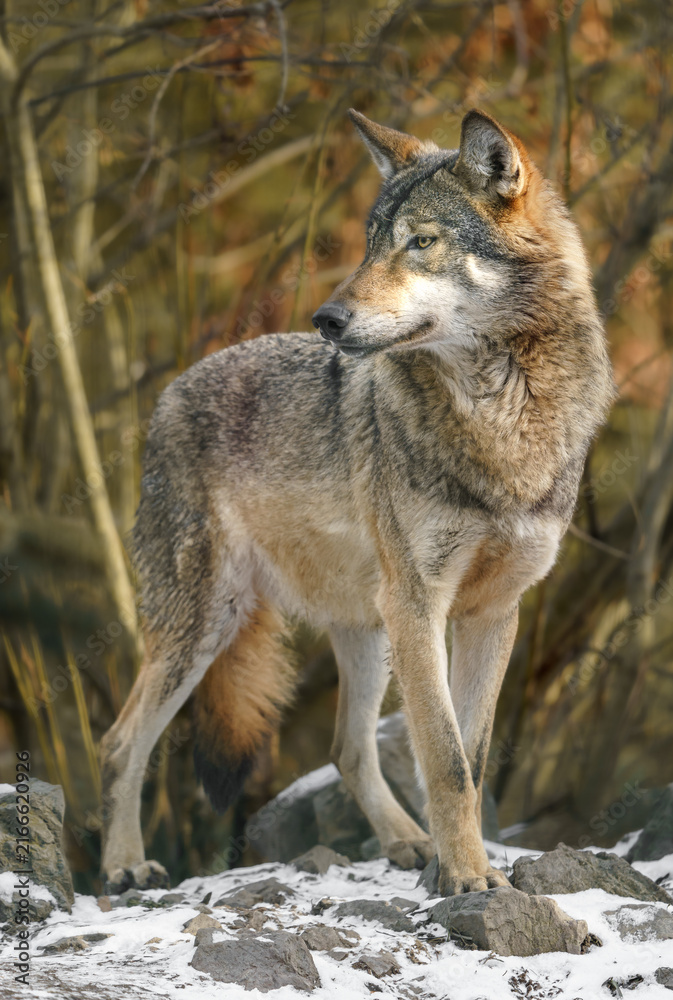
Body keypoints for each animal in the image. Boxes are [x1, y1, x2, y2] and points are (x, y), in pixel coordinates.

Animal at [99, 109, 614, 896]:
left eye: (420, 242)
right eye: (371, 242)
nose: (327, 318)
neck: (502, 411)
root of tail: (170, 392)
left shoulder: (494, 611)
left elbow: (471, 756)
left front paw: (453, 868)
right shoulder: (421, 603)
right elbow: (447, 761)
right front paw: (469, 880)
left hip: (364, 628)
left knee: (346, 746)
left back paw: (405, 843)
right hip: (209, 623)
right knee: (121, 741)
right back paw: (124, 864)